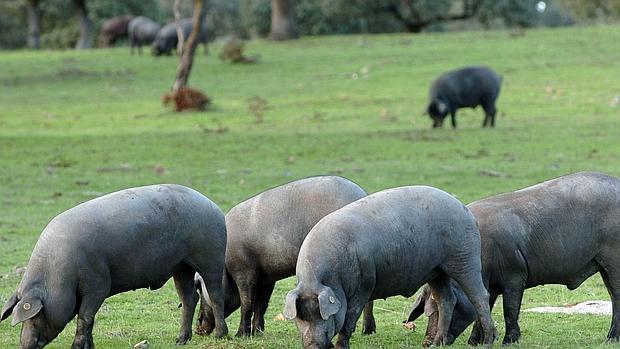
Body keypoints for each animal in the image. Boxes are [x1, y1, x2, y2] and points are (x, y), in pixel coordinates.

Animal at [0, 184, 228, 346]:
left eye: (34, 316)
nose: (23, 345)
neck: (58, 276)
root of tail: (214, 206)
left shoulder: (97, 284)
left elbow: (85, 316)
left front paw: (77, 347)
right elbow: (89, 319)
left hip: (210, 257)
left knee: (215, 294)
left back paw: (220, 336)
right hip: (180, 266)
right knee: (189, 298)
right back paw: (180, 340)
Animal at [196, 177, 376, 338]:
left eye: (198, 285)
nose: (198, 329)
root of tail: (361, 194)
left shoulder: (243, 272)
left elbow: (247, 303)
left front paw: (241, 335)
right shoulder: (266, 279)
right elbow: (261, 305)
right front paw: (257, 333)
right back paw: (367, 331)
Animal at [284, 186, 496, 346]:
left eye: (323, 315)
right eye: (301, 317)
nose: (312, 345)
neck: (332, 279)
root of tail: (465, 210)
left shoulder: (363, 287)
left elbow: (348, 322)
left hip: (464, 258)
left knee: (480, 296)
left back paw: (488, 341)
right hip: (437, 271)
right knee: (446, 300)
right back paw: (436, 343)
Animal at [406, 171, 620, 342]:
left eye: (436, 310)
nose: (426, 342)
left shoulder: (514, 276)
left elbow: (509, 309)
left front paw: (508, 341)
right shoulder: (491, 284)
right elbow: (484, 308)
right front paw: (474, 343)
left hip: (613, 258)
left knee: (616, 295)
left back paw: (610, 339)